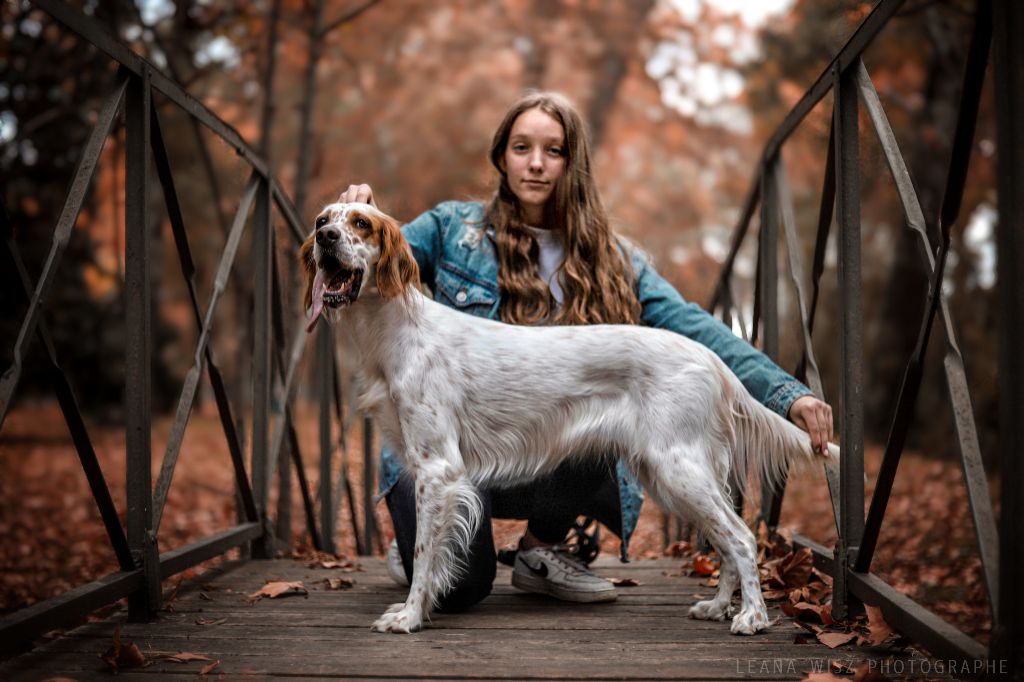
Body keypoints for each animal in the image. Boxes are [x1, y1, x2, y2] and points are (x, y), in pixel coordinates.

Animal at [299, 200, 835, 630]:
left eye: (361, 222)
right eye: (323, 220)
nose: (325, 237)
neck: (396, 330)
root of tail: (712, 359)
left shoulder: (438, 470)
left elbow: (425, 554)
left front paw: (409, 617)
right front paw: (417, 610)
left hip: (679, 470)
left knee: (741, 539)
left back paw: (752, 617)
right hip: (676, 477)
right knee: (724, 541)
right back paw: (719, 606)